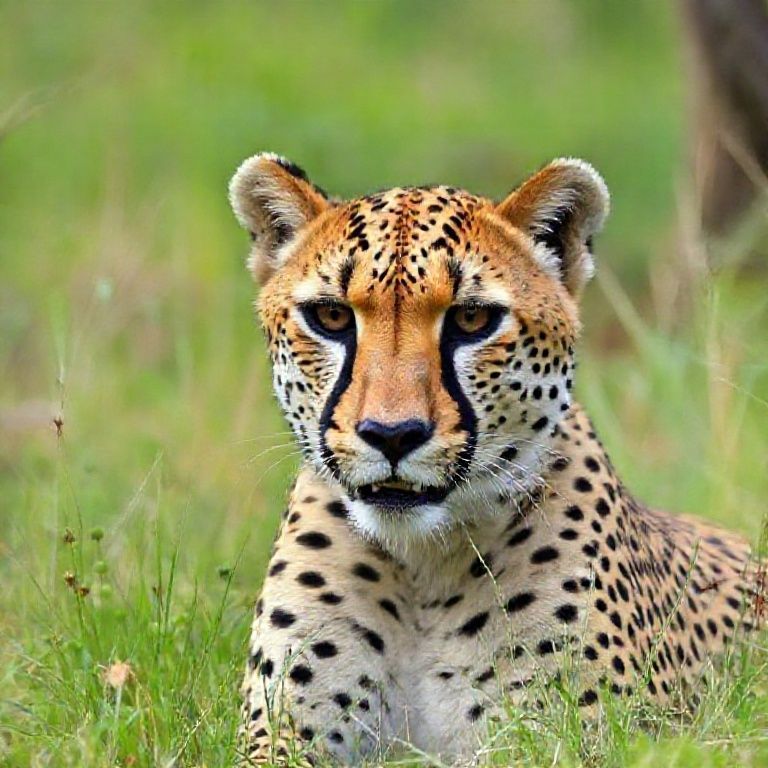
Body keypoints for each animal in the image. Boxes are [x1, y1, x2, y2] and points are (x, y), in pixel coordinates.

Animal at [227, 152, 761, 765]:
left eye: (473, 320)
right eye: (332, 317)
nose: (392, 435)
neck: (424, 565)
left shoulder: (573, 742)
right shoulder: (281, 738)